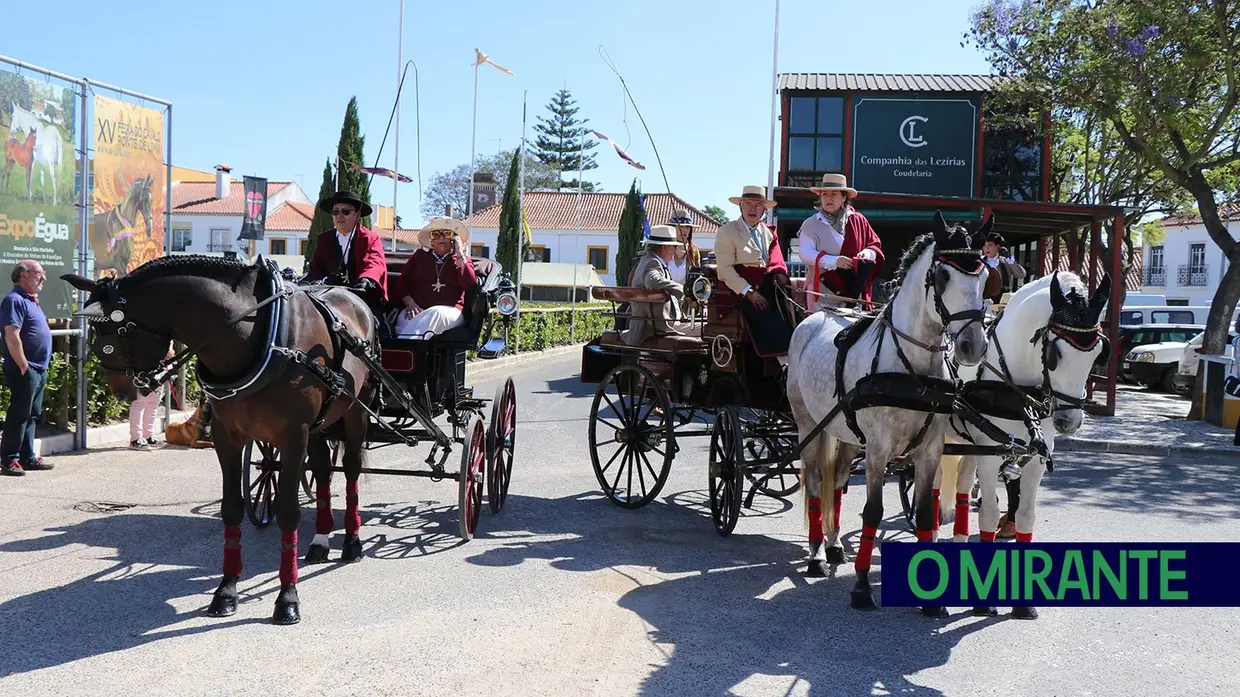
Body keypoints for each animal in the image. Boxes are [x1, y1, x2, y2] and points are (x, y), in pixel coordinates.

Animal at [64, 255, 372, 625]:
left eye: (112, 335)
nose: (122, 391)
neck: (254, 335)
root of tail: (351, 295)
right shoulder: (229, 436)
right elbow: (231, 508)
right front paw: (226, 591)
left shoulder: (292, 435)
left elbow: (288, 512)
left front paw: (287, 597)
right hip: (318, 425)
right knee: (324, 470)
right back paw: (321, 541)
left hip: (354, 410)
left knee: (351, 469)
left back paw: (352, 541)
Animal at [788, 208, 992, 610]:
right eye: (943, 276)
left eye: (985, 276)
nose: (972, 347)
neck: (913, 370)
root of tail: (812, 318)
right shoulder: (879, 450)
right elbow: (874, 511)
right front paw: (861, 587)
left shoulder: (929, 451)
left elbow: (926, 513)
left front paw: (932, 600)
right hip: (808, 427)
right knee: (817, 483)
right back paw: (816, 552)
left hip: (846, 434)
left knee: (837, 481)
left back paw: (833, 545)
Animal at [942, 269, 1111, 615]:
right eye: (1055, 354)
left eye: (1098, 353)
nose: (1068, 421)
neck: (1017, 389)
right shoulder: (990, 457)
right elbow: (989, 514)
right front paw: (983, 602)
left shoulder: (1035, 460)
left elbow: (1025, 515)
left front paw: (1023, 605)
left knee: (964, 486)